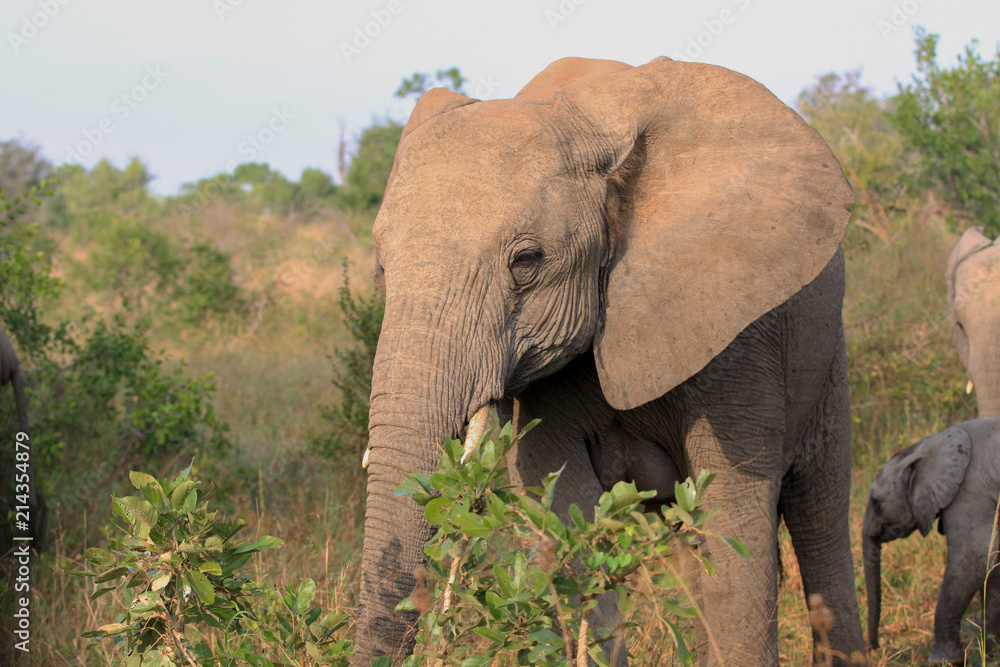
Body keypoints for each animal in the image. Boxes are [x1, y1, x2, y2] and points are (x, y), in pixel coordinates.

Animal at [355, 56, 864, 666]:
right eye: (382, 269)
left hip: (826, 347)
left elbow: (735, 526)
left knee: (820, 515)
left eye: (527, 262)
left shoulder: (736, 327)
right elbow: (565, 516)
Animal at [863, 418, 1000, 665]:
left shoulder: (969, 490)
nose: (872, 647)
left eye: (876, 503)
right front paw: (990, 652)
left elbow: (976, 555)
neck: (929, 444)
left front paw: (943, 661)